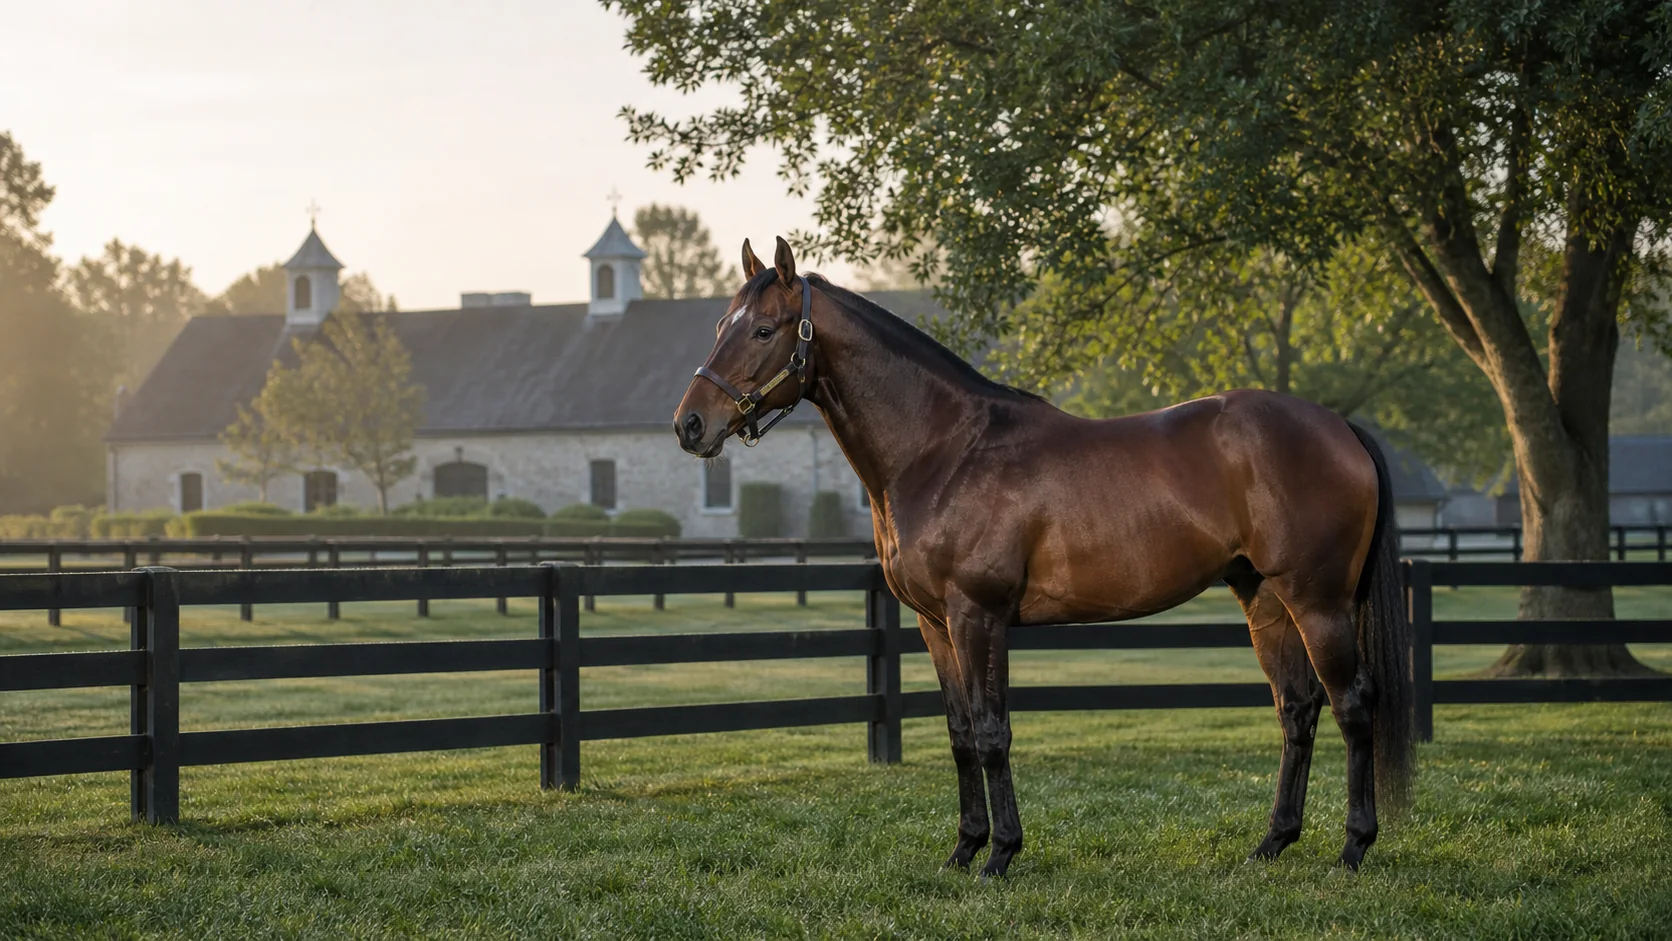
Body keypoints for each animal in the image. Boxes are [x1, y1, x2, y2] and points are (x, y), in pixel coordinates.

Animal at [673, 237, 1414, 878]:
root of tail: (1340, 425)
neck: (944, 449)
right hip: (1264, 599)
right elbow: (959, 732)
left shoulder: (978, 616)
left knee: (1352, 705)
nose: (690, 425)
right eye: (720, 325)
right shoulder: (935, 625)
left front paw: (1000, 855)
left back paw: (1353, 847)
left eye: (764, 330)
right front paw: (963, 849)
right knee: (1297, 708)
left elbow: (992, 731)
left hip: (1318, 602)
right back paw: (1272, 842)